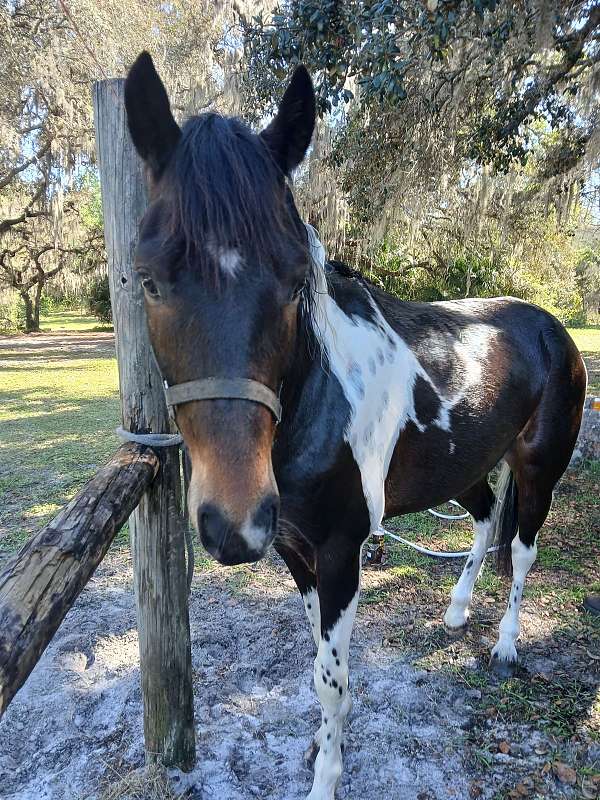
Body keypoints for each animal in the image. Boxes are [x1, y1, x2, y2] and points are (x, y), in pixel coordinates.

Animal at [124, 52, 587, 800]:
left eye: (295, 278)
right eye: (148, 278)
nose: (234, 524)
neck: (314, 409)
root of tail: (551, 327)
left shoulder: (340, 551)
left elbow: (331, 680)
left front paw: (326, 775)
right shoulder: (294, 549)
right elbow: (317, 658)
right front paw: (319, 745)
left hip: (540, 469)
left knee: (522, 551)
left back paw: (505, 644)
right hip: (460, 467)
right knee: (486, 515)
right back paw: (457, 610)